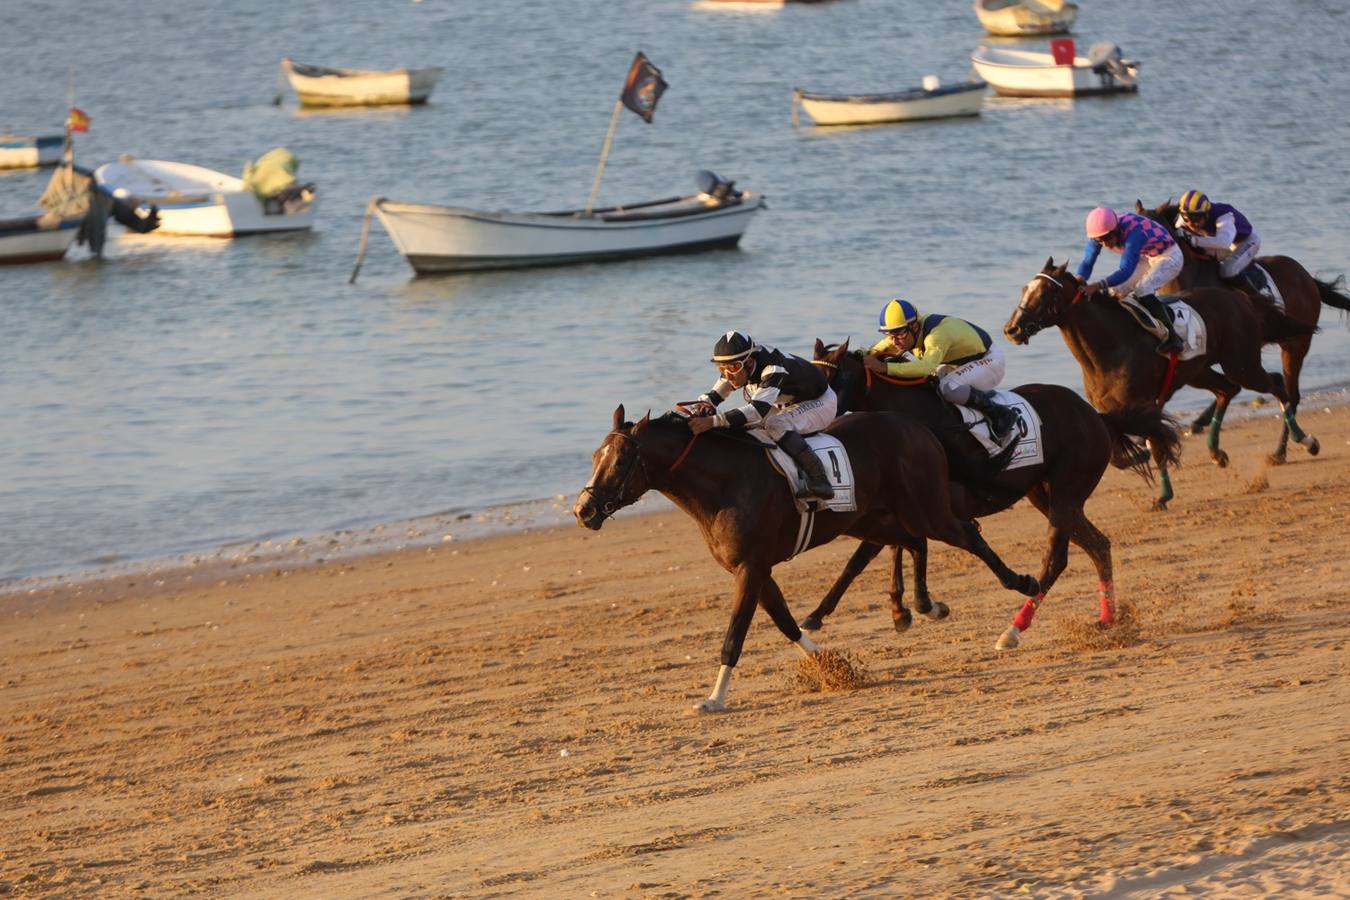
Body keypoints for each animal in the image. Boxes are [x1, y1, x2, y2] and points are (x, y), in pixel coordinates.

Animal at [575, 407, 1036, 712]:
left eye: (619, 460)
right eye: (594, 457)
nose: (583, 510)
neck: (724, 483)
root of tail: (916, 425)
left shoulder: (751, 568)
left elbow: (735, 636)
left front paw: (713, 699)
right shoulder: (754, 569)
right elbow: (785, 622)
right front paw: (834, 667)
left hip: (925, 507)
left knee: (966, 534)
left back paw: (1022, 586)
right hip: (871, 520)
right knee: (913, 541)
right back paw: (923, 605)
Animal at [799, 341, 1182, 650]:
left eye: (832, 380)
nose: (808, 423)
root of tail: (1098, 417)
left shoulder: (931, 507)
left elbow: (888, 550)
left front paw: (909, 608)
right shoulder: (901, 506)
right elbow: (865, 558)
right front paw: (832, 613)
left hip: (1066, 493)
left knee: (1056, 559)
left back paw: (1014, 629)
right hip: (1046, 495)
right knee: (1098, 545)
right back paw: (1107, 618)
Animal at [1009, 264, 1312, 510]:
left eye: (1045, 293)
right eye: (1024, 289)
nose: (1012, 329)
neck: (1110, 345)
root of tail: (1240, 298)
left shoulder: (1142, 403)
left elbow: (1155, 445)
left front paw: (1163, 495)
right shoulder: (1108, 410)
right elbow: (1119, 457)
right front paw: (1140, 455)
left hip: (1242, 363)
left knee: (1276, 384)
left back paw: (1303, 441)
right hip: (1199, 371)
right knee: (1227, 390)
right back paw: (1217, 453)